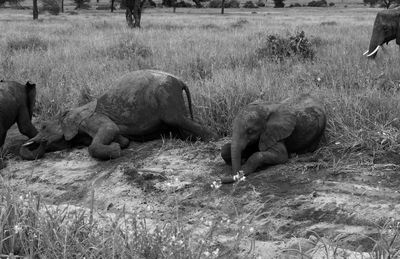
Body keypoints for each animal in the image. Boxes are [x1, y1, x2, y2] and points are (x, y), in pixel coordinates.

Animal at [19, 70, 216, 161]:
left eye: (44, 126)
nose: (39, 141)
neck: (75, 110)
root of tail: (181, 80)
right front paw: (121, 143)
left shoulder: (92, 119)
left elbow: (109, 129)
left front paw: (115, 149)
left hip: (166, 96)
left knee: (177, 119)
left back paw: (209, 139)